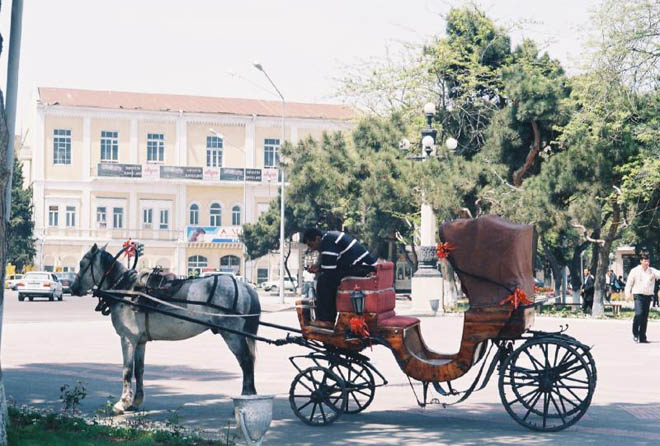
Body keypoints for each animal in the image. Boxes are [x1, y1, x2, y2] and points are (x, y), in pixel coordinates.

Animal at [69, 244, 260, 414]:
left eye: (82, 264)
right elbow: (139, 371)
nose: (72, 288)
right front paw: (135, 402)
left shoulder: (127, 339)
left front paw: (122, 403)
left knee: (246, 362)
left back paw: (247, 397)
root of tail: (245, 286)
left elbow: (127, 371)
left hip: (232, 336)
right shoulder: (140, 342)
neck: (127, 291)